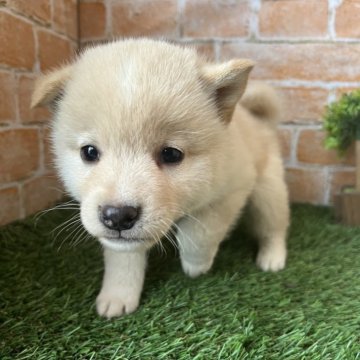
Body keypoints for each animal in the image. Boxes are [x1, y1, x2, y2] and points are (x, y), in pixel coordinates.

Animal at [31, 38, 290, 318]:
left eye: (171, 154)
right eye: (89, 152)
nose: (117, 216)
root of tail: (258, 119)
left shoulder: (231, 191)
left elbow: (200, 232)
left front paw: (196, 264)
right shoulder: (120, 242)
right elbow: (123, 259)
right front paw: (118, 295)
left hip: (268, 192)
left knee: (273, 227)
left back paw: (272, 257)